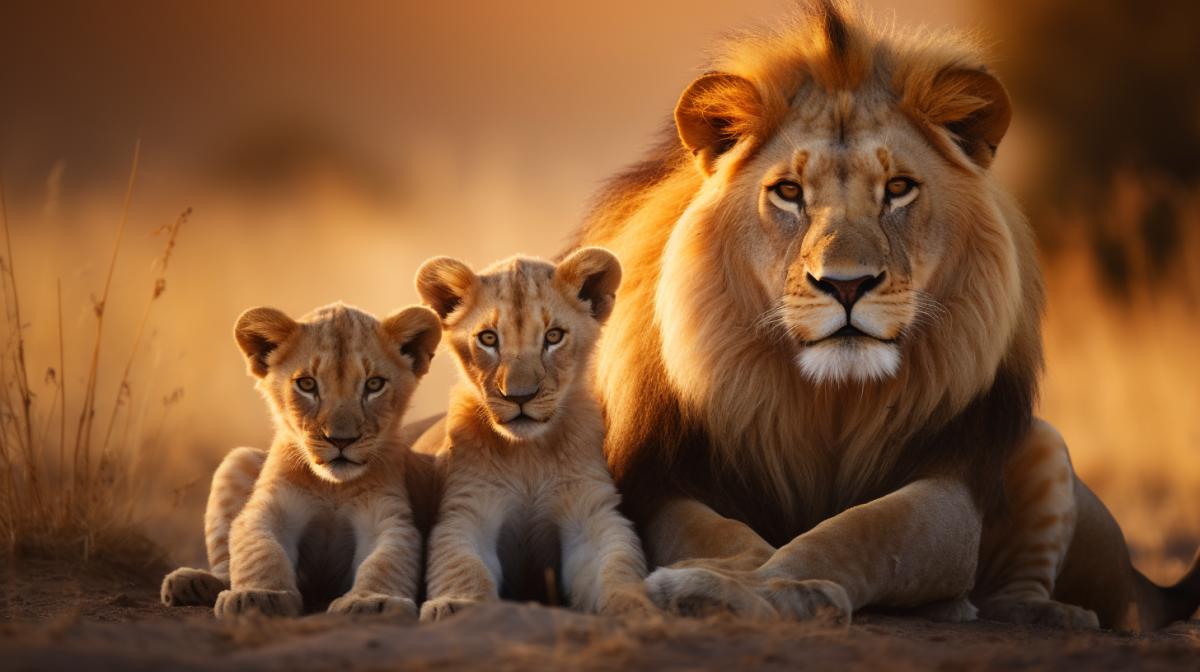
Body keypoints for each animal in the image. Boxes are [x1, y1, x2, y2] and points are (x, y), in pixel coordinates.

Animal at [160, 302, 441, 618]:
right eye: (307, 384)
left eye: (374, 384)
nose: (341, 440)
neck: (333, 487)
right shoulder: (272, 508)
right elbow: (259, 548)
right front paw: (258, 596)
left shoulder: (387, 515)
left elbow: (387, 559)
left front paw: (371, 601)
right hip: (236, 459)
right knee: (225, 564)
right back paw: (190, 582)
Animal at [410, 249, 649, 621]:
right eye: (488, 338)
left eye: (553, 336)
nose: (520, 396)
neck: (529, 453)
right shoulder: (467, 507)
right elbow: (463, 565)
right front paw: (456, 604)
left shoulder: (589, 508)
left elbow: (616, 563)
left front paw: (636, 605)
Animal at [567, 1, 1200, 630]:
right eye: (789, 192)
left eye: (898, 188)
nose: (846, 284)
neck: (830, 401)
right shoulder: (665, 482)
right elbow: (727, 537)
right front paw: (719, 582)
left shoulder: (952, 485)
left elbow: (858, 533)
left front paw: (756, 589)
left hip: (1047, 446)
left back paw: (1030, 613)